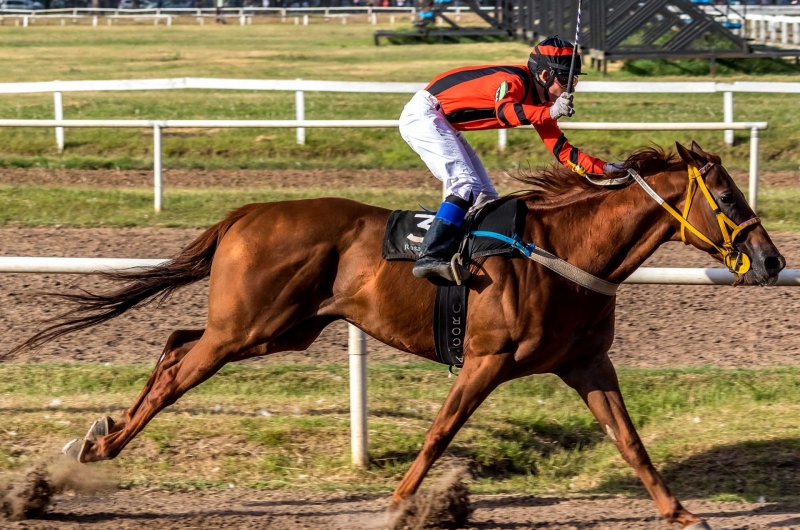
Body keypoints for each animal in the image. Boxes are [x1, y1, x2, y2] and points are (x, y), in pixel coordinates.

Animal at [12, 141, 784, 528]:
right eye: (728, 196)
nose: (773, 259)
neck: (566, 252)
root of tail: (247, 213)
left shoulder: (588, 363)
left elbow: (630, 441)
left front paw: (682, 513)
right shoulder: (484, 359)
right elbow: (440, 430)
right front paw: (401, 505)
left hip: (276, 329)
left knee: (174, 342)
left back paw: (92, 441)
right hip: (247, 325)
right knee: (178, 368)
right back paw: (84, 456)